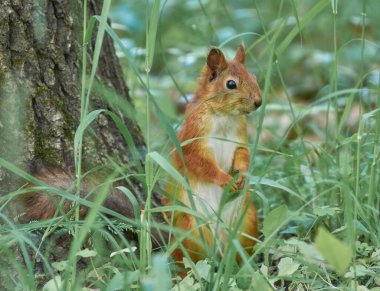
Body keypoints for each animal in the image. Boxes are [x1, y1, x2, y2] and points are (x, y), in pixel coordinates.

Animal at [165, 44, 262, 270]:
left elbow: (243, 154)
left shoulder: (239, 139)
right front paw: (225, 179)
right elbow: (201, 165)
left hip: (248, 219)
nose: (258, 102)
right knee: (189, 261)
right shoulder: (192, 140)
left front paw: (242, 175)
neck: (224, 116)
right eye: (231, 84)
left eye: (254, 76)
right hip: (192, 230)